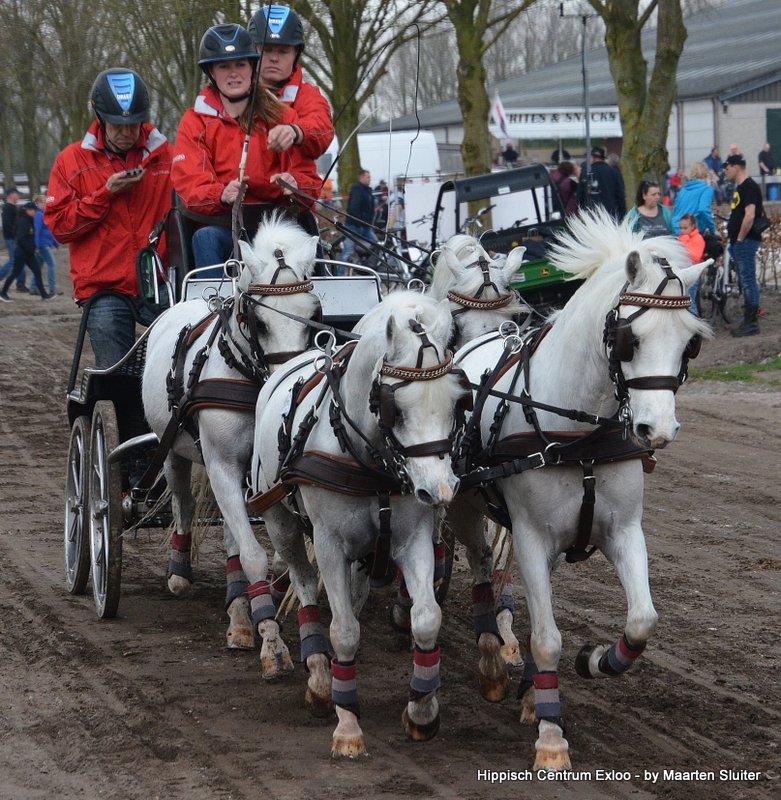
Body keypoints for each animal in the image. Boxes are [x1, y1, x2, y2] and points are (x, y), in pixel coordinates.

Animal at [141, 212, 321, 679]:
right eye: (260, 321)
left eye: (313, 314)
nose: (290, 380)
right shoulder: (221, 464)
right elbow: (255, 555)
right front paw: (272, 646)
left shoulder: (260, 477)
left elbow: (259, 549)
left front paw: (251, 615)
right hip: (174, 447)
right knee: (183, 499)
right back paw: (181, 572)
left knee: (229, 535)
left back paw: (238, 611)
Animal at [247, 290, 470, 756]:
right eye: (395, 409)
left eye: (457, 401)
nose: (440, 489)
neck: (369, 459)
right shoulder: (330, 544)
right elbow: (344, 629)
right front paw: (346, 721)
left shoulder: (413, 539)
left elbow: (426, 617)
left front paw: (422, 710)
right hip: (279, 519)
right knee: (303, 582)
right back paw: (318, 674)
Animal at [448, 208, 711, 770]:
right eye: (632, 339)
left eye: (690, 343)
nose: (657, 430)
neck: (578, 436)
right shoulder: (529, 535)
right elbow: (547, 638)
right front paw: (551, 738)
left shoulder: (623, 530)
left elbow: (642, 620)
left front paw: (595, 661)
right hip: (461, 507)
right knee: (478, 566)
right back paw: (491, 660)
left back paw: (529, 688)